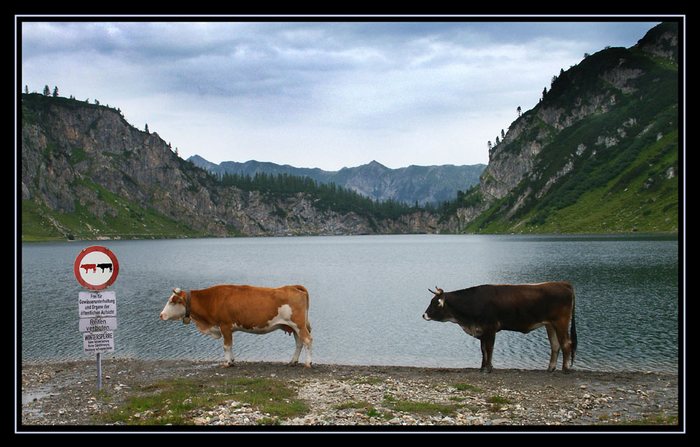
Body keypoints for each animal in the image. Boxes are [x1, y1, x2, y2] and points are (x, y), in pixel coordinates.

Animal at [160, 288, 314, 368]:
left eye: (171, 301)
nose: (161, 315)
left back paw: (308, 363)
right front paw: (232, 360)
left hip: (299, 325)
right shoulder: (227, 328)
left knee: (307, 340)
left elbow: (226, 346)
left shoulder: (225, 325)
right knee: (299, 343)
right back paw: (293, 361)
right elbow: (230, 345)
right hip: (293, 327)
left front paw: (227, 363)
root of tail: (293, 286)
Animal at [422, 284, 580, 374]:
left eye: (436, 303)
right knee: (555, 345)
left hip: (560, 322)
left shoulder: (490, 328)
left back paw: (566, 369)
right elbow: (483, 350)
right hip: (550, 324)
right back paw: (550, 368)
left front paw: (488, 368)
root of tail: (563, 284)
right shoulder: (482, 330)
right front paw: (482, 367)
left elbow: (489, 348)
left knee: (566, 344)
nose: (424, 315)